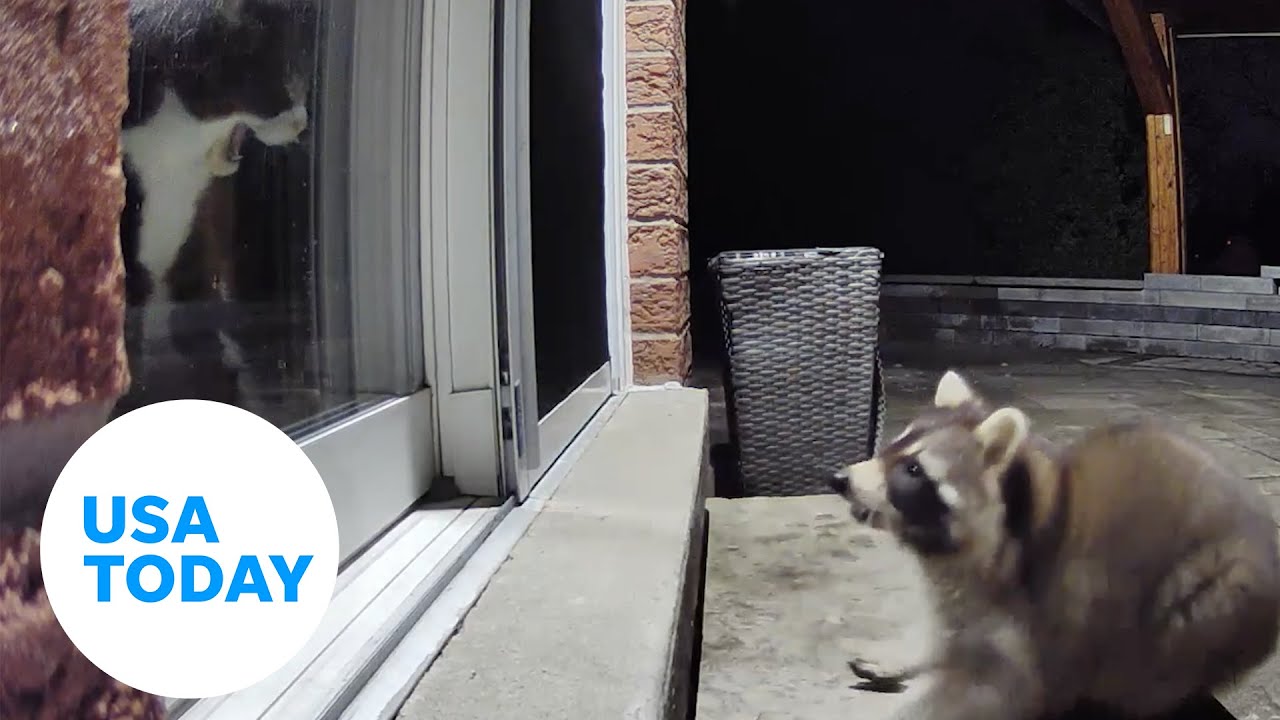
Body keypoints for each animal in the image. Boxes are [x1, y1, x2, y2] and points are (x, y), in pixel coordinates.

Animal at [828, 370, 1280, 720]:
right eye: (893, 445)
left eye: (913, 470)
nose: (839, 479)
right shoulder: (959, 593)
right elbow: (947, 637)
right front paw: (911, 655)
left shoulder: (1025, 618)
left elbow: (992, 688)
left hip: (1214, 597)